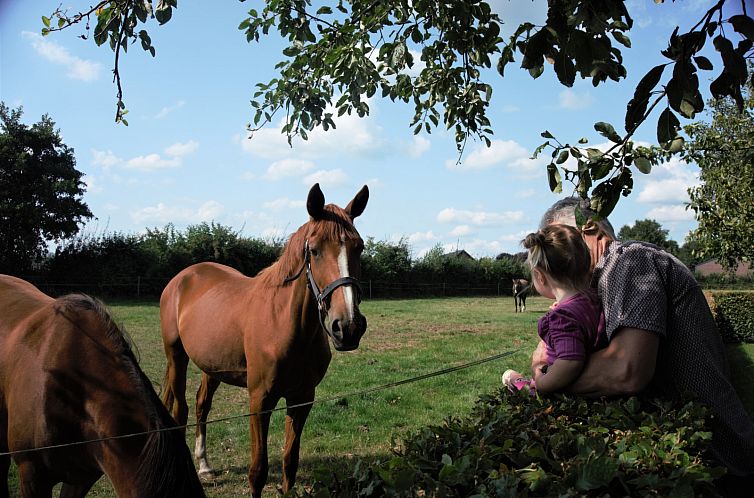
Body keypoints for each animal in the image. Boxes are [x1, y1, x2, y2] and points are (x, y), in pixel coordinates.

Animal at [160, 184, 368, 498]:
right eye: (315, 250)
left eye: (359, 247)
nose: (348, 326)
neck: (284, 323)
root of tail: (181, 279)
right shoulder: (260, 400)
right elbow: (257, 471)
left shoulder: (301, 398)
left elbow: (289, 463)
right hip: (176, 357)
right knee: (180, 410)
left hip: (212, 367)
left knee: (201, 405)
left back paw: (205, 466)